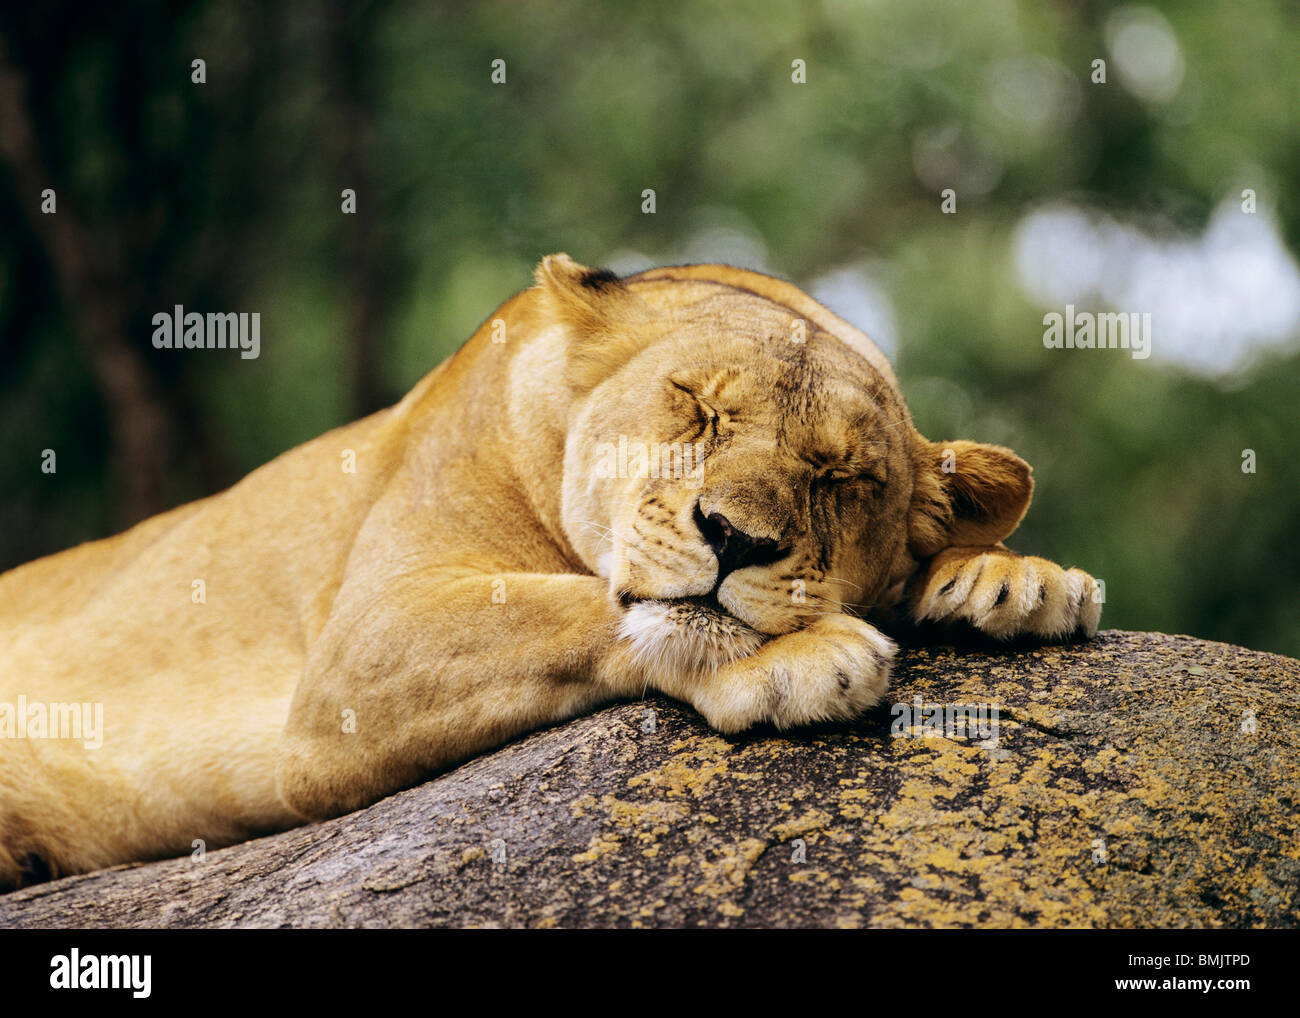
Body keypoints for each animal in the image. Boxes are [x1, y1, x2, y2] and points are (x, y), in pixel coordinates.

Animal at [0, 255, 1100, 889]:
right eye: (697, 406)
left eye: (839, 475)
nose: (735, 537)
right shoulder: (356, 651)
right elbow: (581, 606)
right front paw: (789, 657)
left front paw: (1013, 579)